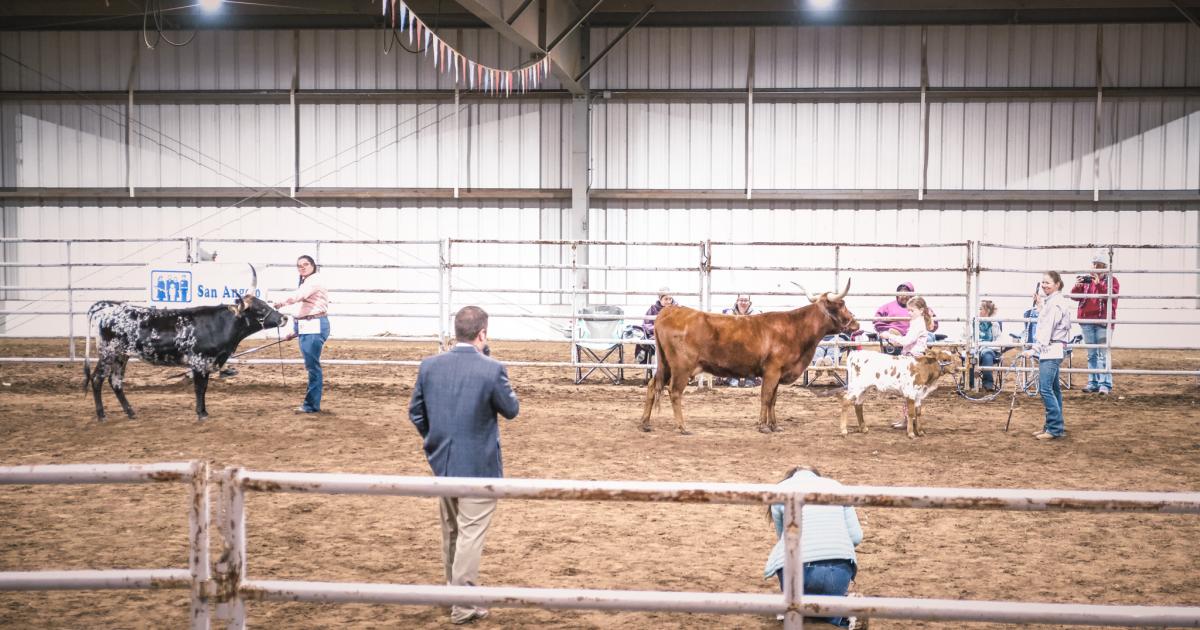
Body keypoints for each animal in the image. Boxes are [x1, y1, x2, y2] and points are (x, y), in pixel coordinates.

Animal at [82, 292, 288, 420]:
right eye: (261, 309)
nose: (284, 318)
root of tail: (107, 307)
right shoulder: (199, 361)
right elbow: (200, 388)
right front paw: (201, 413)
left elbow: (203, 388)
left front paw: (203, 411)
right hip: (108, 353)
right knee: (97, 379)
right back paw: (101, 415)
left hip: (121, 356)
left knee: (115, 381)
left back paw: (131, 412)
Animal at [643, 279, 859, 432]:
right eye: (842, 303)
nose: (856, 323)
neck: (794, 329)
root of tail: (669, 312)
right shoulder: (772, 371)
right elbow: (766, 397)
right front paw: (763, 426)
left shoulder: (778, 374)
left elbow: (773, 399)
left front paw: (775, 425)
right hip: (681, 367)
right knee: (674, 392)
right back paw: (682, 427)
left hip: (665, 365)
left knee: (653, 385)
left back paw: (645, 423)